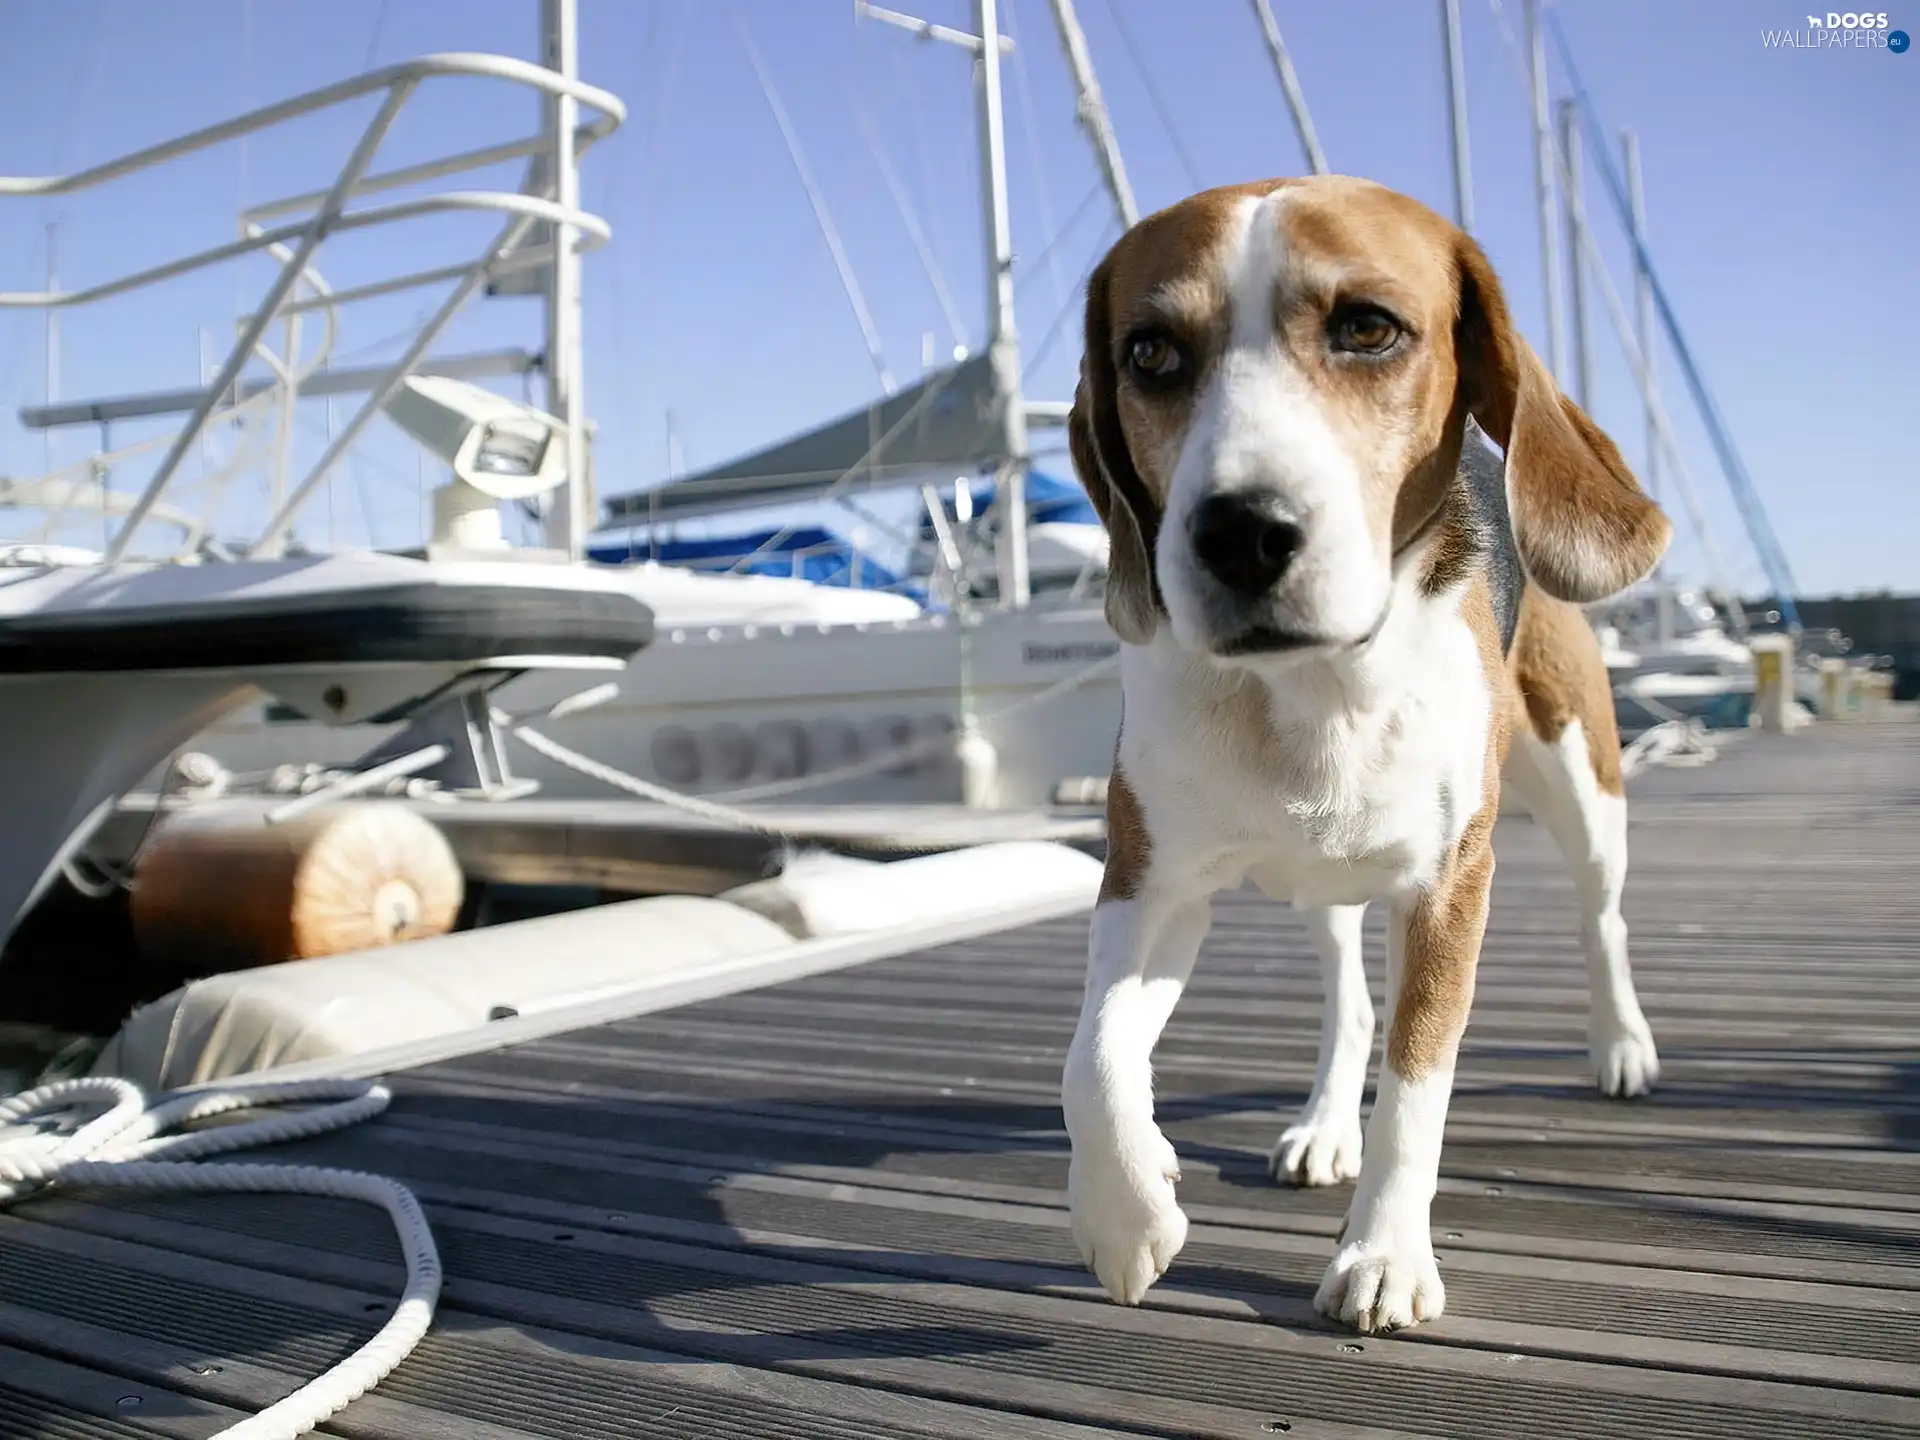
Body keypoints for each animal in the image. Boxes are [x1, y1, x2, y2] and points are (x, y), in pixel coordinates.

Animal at [1059, 180, 1674, 1344]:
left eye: (1369, 329)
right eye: (1150, 353)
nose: (1240, 533)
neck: (1310, 689)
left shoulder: (1450, 886)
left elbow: (1418, 1081)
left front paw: (1383, 1255)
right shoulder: (1149, 882)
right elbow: (1093, 1057)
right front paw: (1126, 1215)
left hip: (1589, 795)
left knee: (1605, 920)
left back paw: (1621, 1044)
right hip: (1321, 883)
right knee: (1346, 1006)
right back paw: (1320, 1126)